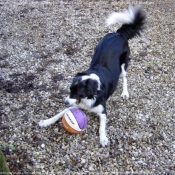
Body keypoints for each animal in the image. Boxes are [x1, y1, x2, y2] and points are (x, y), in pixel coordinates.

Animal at [39, 5, 146, 146]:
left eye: (77, 93)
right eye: (70, 91)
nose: (64, 101)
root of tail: (118, 33)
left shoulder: (103, 111)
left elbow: (101, 127)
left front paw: (103, 138)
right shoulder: (74, 105)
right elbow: (59, 114)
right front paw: (46, 121)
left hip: (124, 64)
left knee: (124, 77)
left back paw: (125, 93)